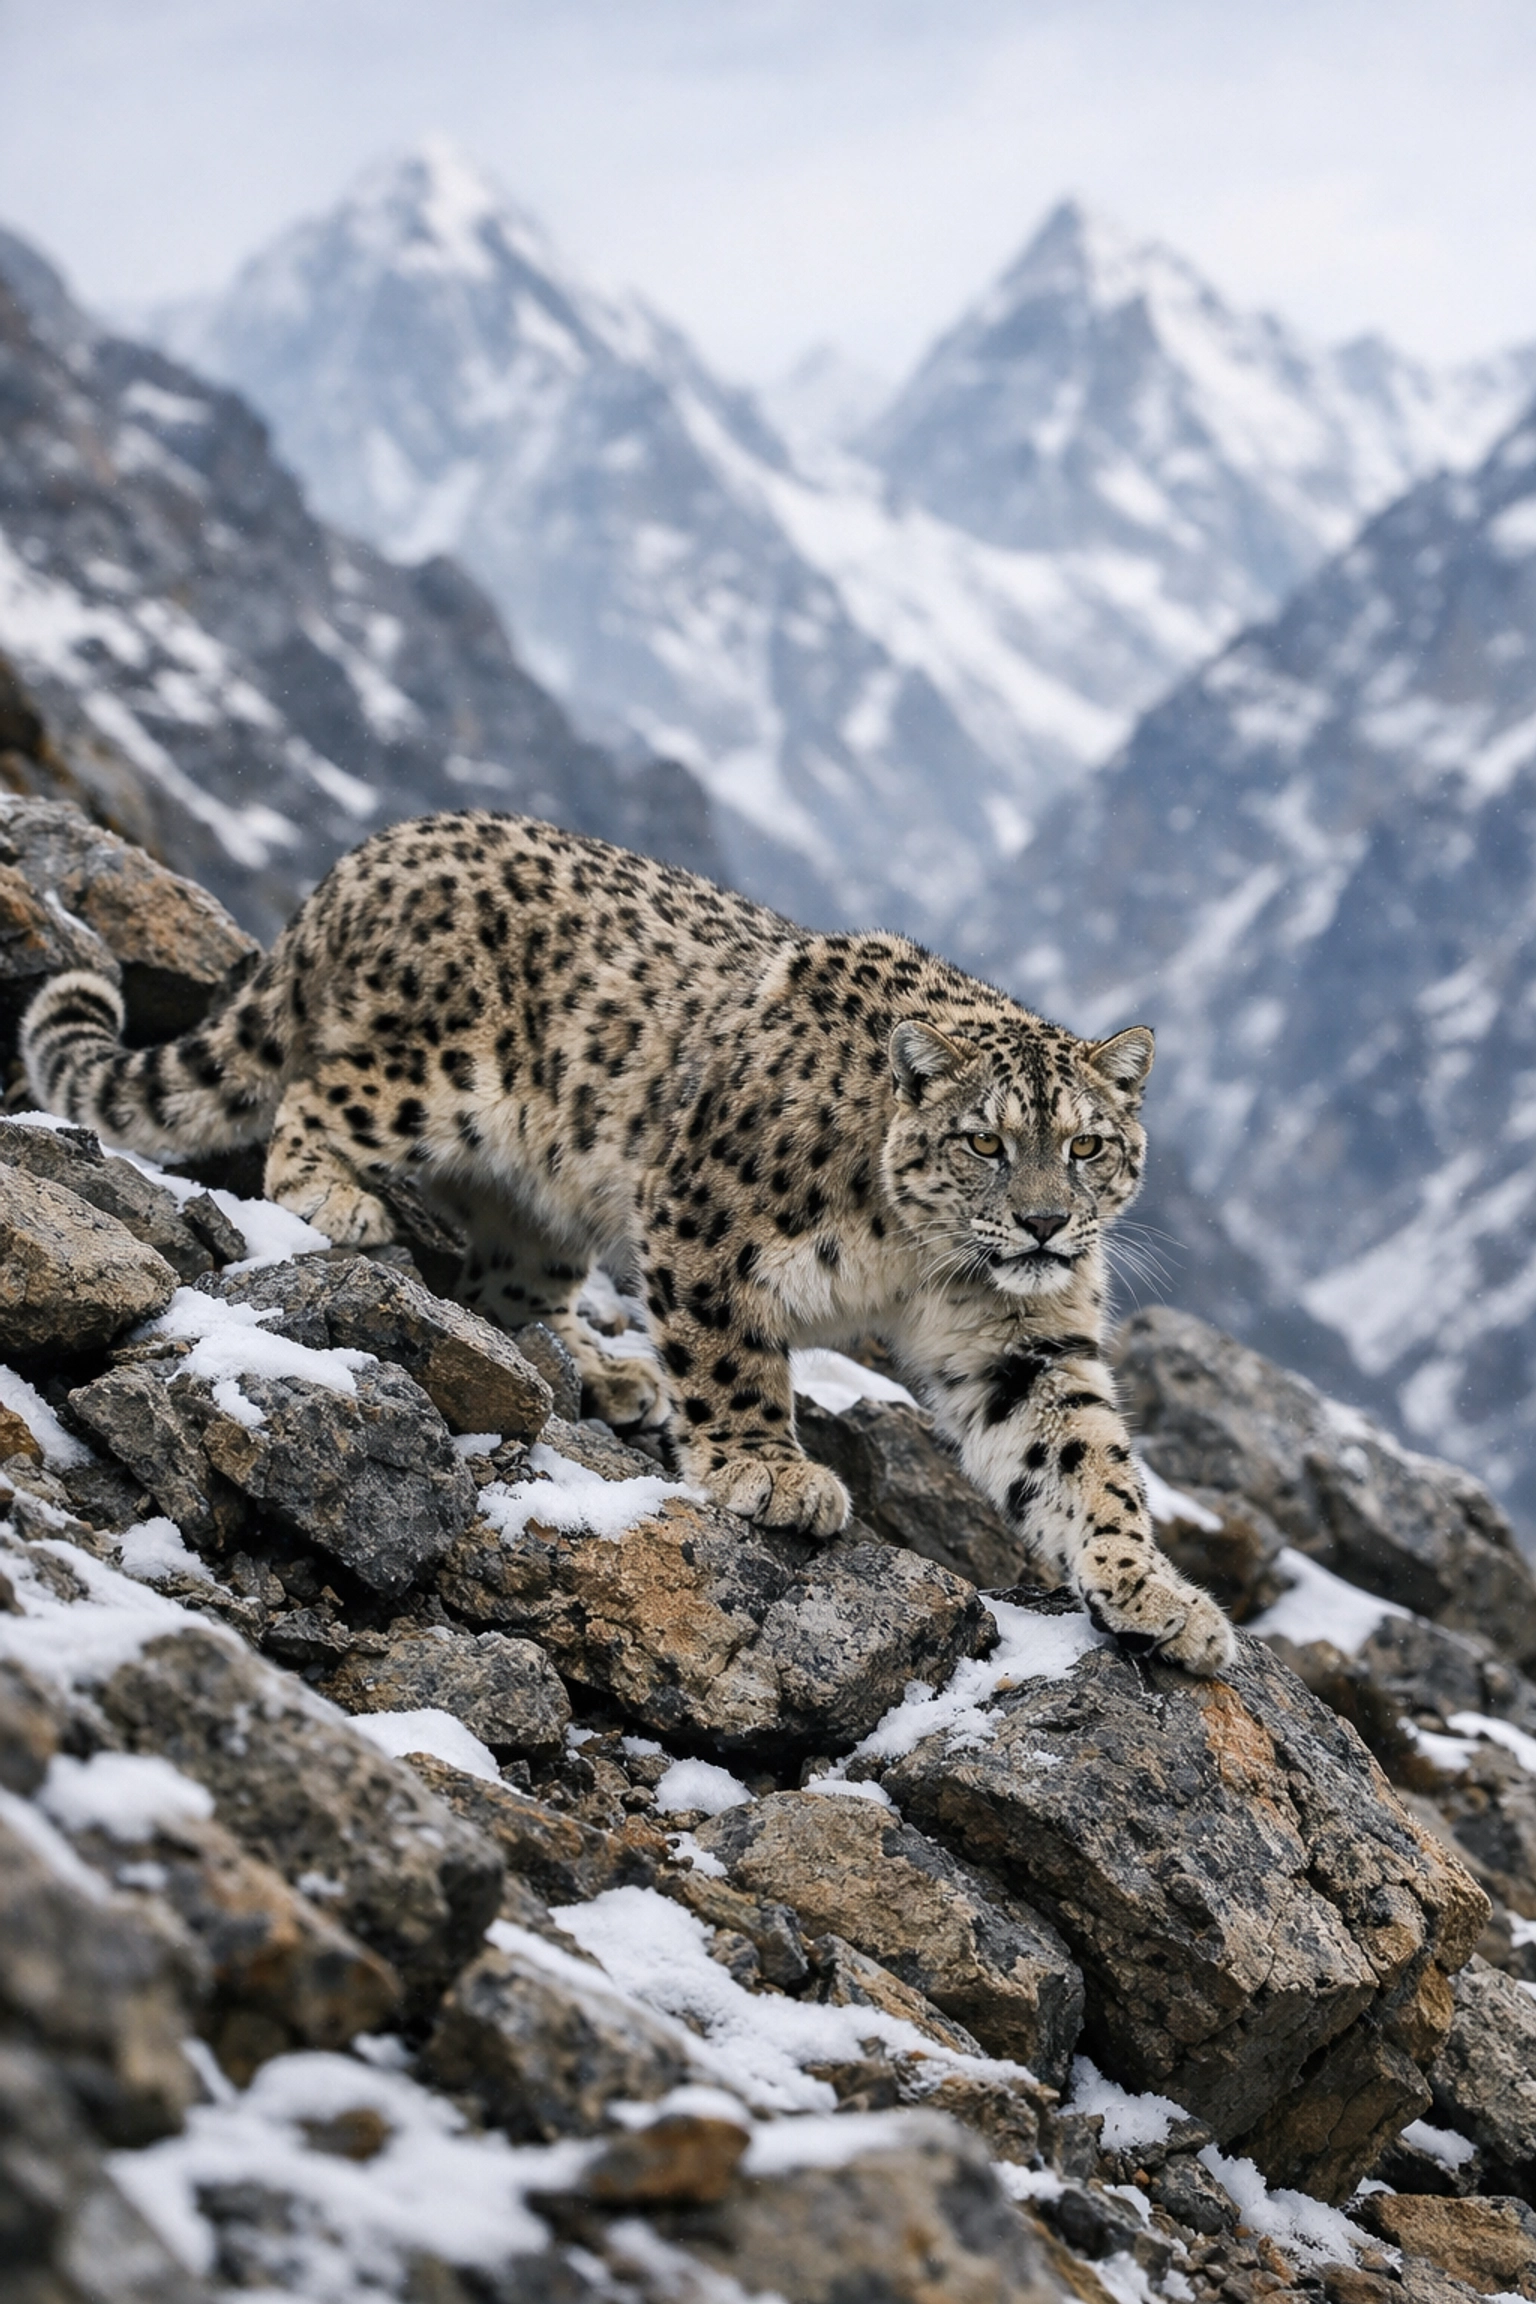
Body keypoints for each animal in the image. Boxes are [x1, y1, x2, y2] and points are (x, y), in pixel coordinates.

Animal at [22, 809, 1236, 1674]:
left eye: (1086, 1146)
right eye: (986, 1139)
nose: (1043, 1222)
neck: (918, 1259)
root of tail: (382, 848)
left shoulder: (1021, 1335)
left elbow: (1083, 1456)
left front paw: (1158, 1596)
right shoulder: (707, 1217)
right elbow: (732, 1356)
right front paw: (767, 1472)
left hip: (547, 1204)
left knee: (511, 1287)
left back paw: (604, 1373)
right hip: (431, 1072)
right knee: (317, 1095)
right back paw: (335, 1198)